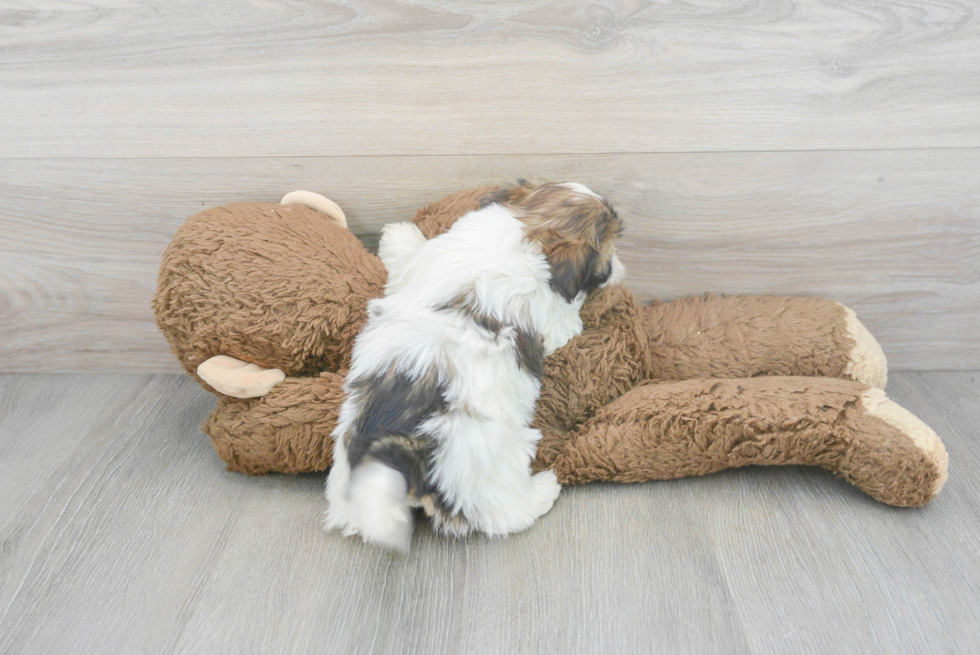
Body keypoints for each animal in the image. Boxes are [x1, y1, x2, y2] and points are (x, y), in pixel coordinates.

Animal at [326, 182, 624, 552]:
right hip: (496, 462)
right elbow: (566, 326)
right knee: (503, 514)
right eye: (606, 261)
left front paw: (400, 235)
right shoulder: (553, 320)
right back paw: (543, 490)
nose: (620, 268)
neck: (528, 230)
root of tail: (407, 457)